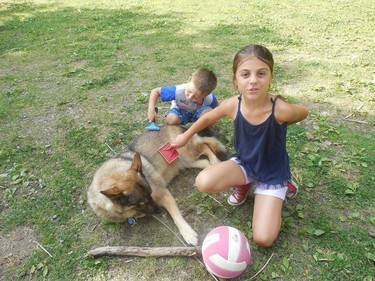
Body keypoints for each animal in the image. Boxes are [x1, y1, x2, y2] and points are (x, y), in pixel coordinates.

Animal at [87, 124, 229, 245]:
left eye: (150, 194)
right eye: (140, 204)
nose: (159, 210)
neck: (112, 176)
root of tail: (172, 124)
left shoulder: (164, 194)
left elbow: (176, 216)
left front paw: (187, 233)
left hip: (187, 152)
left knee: (205, 146)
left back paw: (215, 161)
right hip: (187, 161)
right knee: (205, 162)